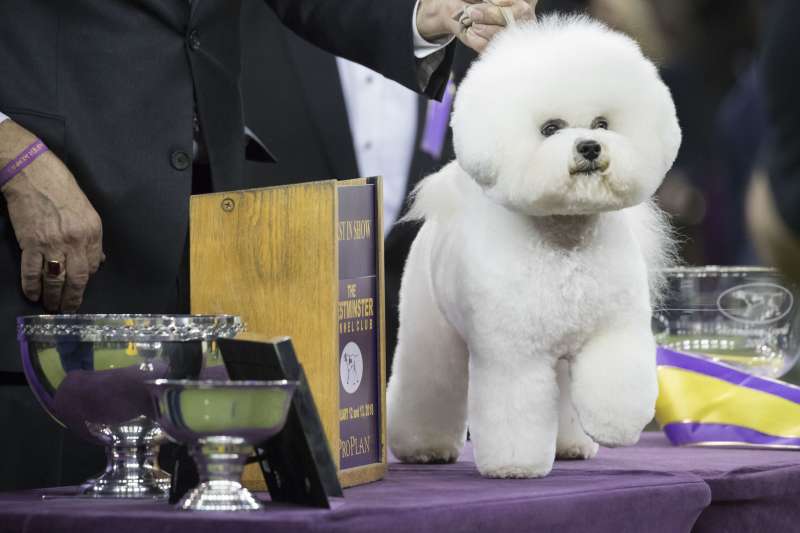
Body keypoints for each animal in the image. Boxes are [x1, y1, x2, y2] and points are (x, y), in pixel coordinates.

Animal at [388, 15, 680, 478]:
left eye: (602, 123)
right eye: (550, 129)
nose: (590, 147)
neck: (565, 240)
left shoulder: (614, 328)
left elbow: (617, 380)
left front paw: (616, 425)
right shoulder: (514, 353)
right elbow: (514, 409)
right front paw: (515, 466)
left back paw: (571, 446)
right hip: (431, 330)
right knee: (430, 384)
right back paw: (424, 448)